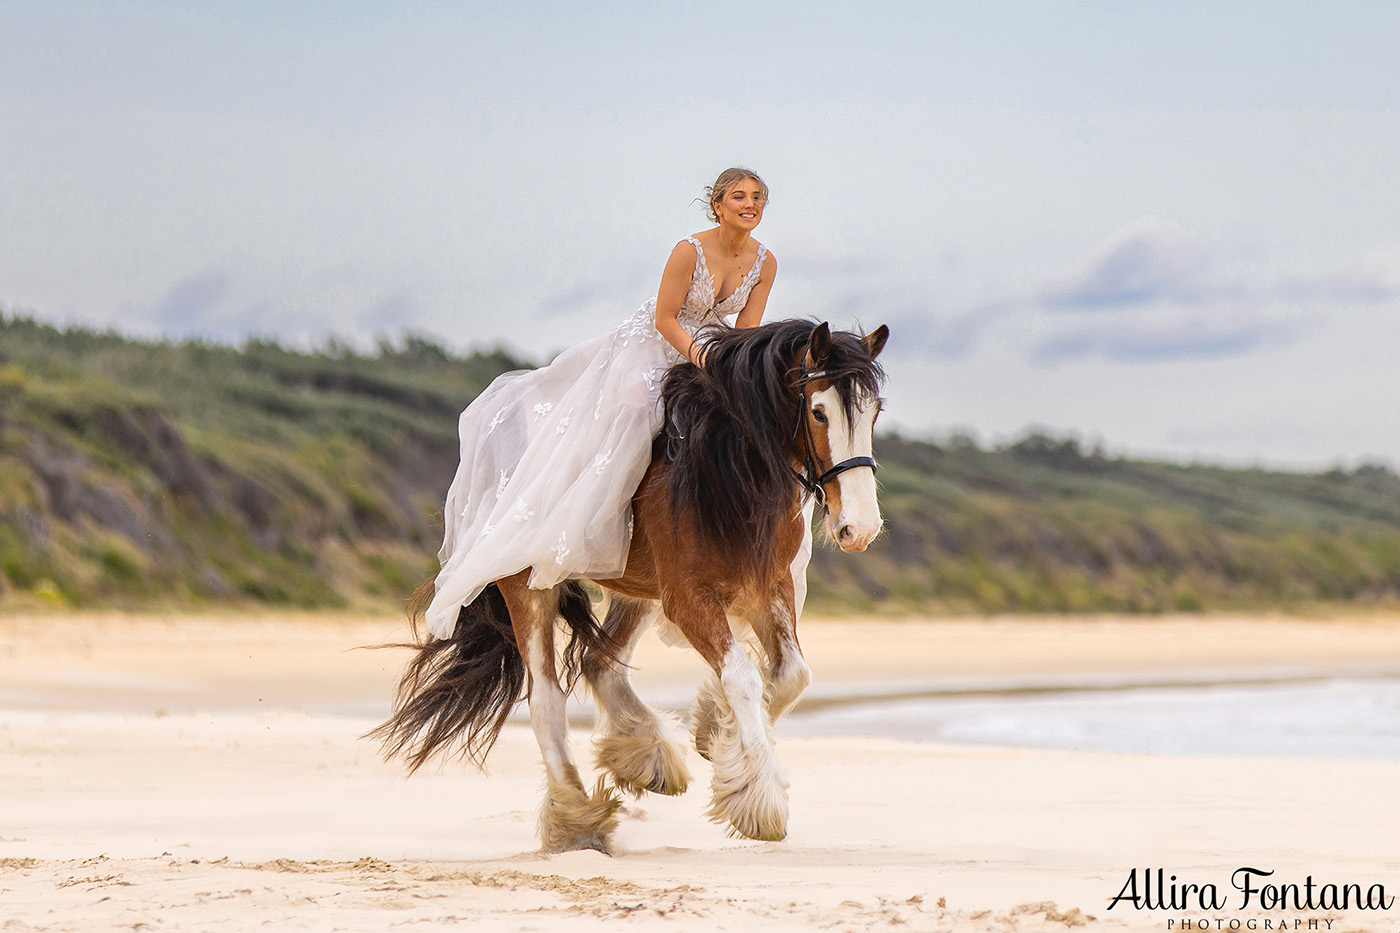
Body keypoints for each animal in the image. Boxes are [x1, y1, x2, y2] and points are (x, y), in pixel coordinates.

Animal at [372, 318, 884, 851]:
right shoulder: (688, 599)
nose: (860, 528)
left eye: (875, 413)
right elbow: (744, 677)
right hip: (528, 584)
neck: (725, 465)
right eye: (819, 412)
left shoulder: (769, 586)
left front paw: (711, 730)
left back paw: (645, 758)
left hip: (637, 590)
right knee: (546, 700)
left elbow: (791, 675)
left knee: (600, 664)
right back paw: (577, 819)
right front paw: (759, 804)